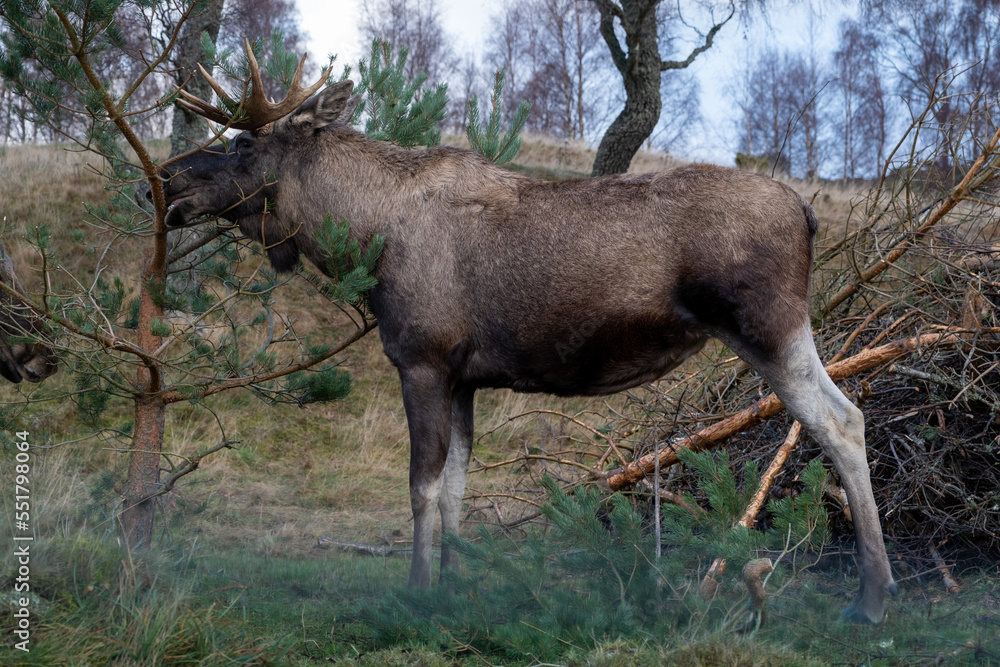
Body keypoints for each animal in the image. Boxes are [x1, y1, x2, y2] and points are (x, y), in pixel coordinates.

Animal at [156, 41, 897, 623]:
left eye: (243, 142)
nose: (164, 181)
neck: (362, 238)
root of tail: (807, 212)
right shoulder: (464, 377)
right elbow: (457, 487)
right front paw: (453, 586)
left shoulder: (421, 358)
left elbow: (421, 485)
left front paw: (417, 591)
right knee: (845, 414)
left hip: (770, 325)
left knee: (841, 420)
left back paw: (871, 596)